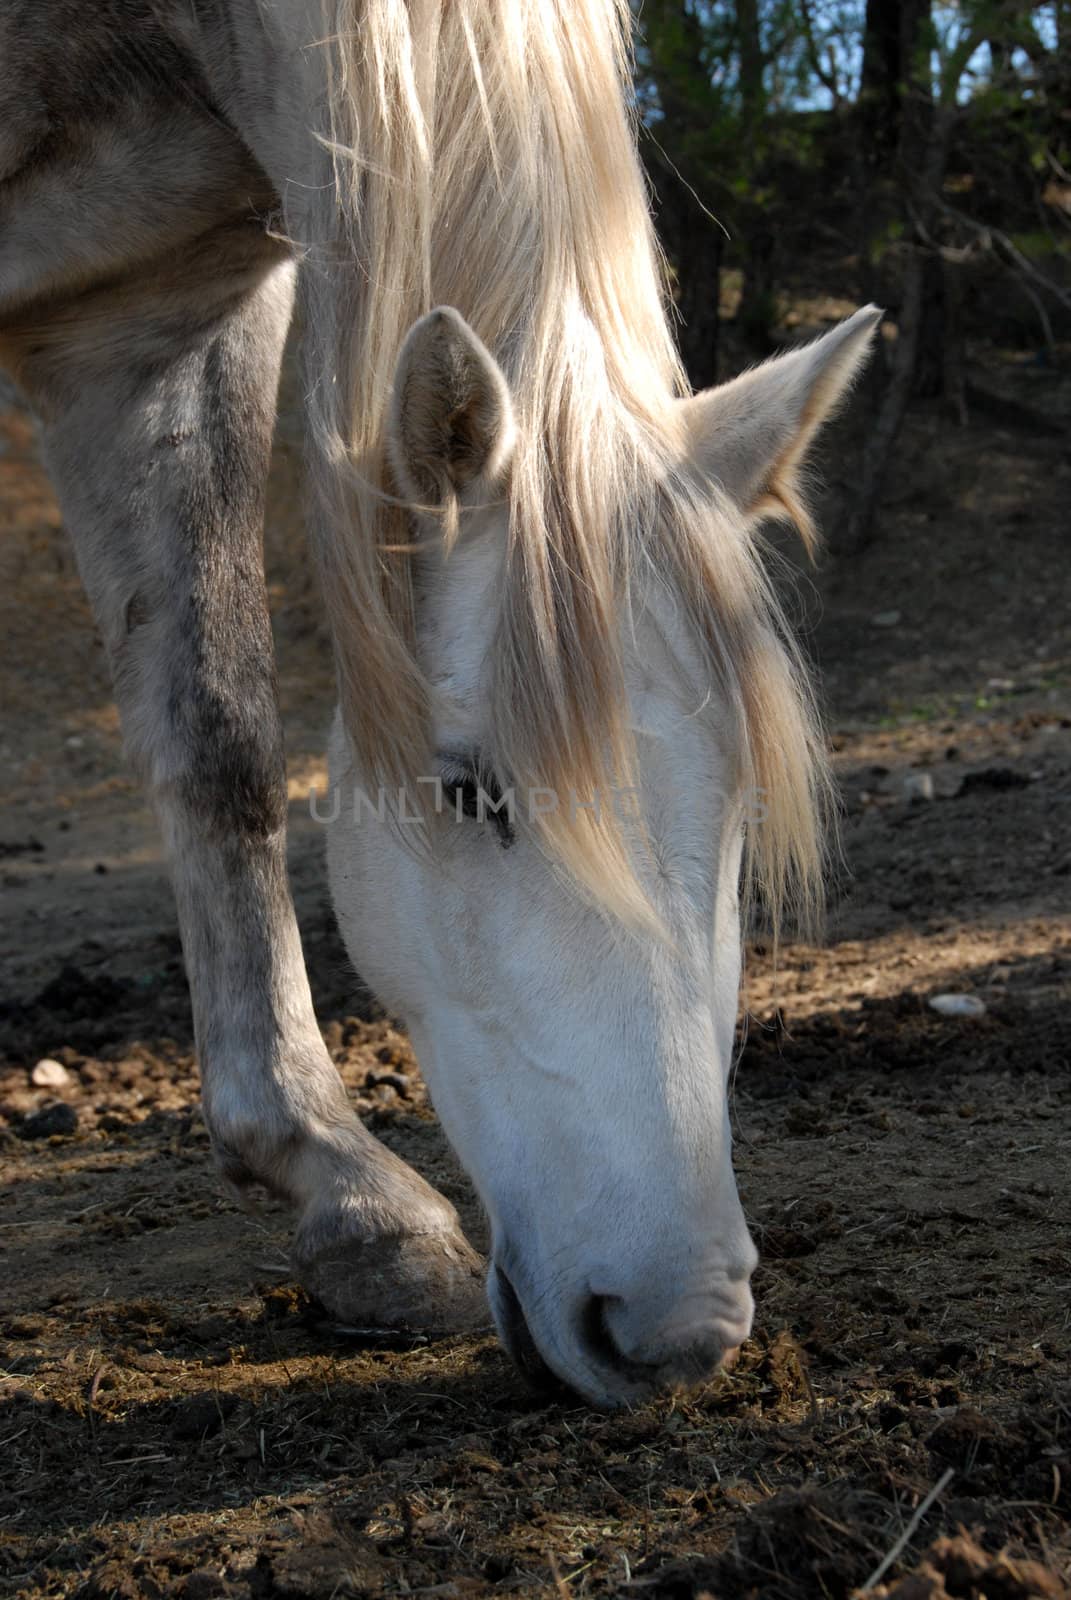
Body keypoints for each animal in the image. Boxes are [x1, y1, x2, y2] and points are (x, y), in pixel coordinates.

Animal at [2, 0, 877, 1401]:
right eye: (470, 794)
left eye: (743, 802)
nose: (679, 1326)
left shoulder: (146, 326)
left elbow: (217, 740)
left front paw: (346, 1197)